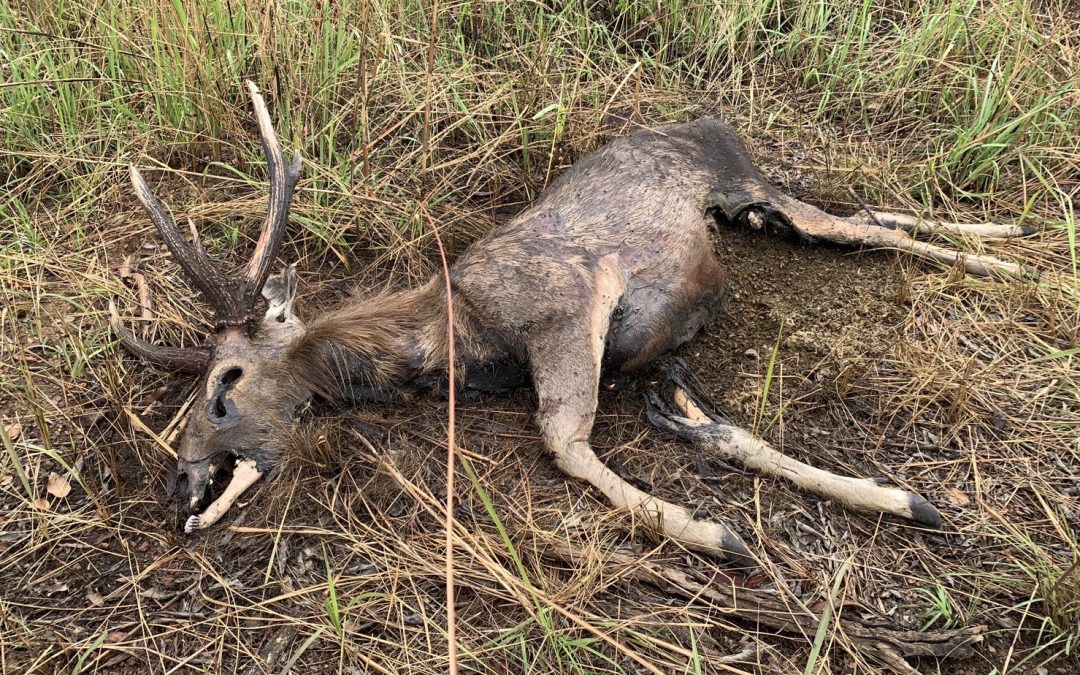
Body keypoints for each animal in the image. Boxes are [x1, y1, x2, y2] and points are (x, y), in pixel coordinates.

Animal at [113, 81, 1032, 561]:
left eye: (223, 386)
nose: (181, 485)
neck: (452, 336)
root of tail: (712, 121)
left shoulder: (574, 300)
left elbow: (563, 438)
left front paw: (717, 532)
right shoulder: (634, 354)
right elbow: (699, 424)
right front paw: (902, 498)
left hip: (745, 184)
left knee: (867, 228)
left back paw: (1012, 260)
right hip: (756, 206)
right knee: (868, 214)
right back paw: (1013, 238)